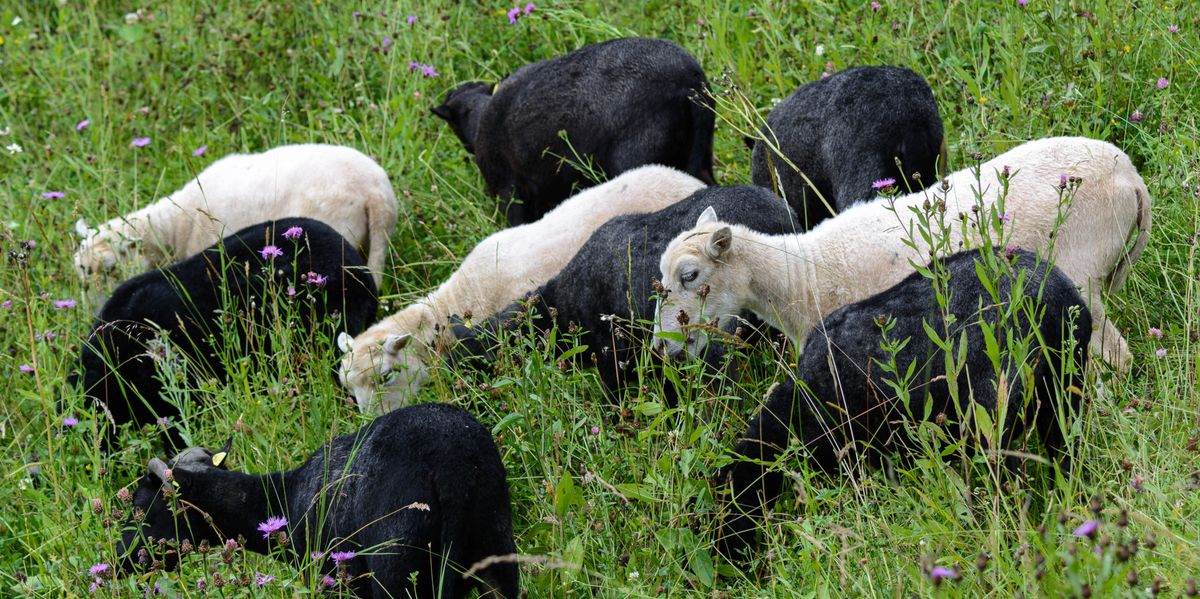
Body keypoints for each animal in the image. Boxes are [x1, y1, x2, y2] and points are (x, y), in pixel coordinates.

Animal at [114, 402, 518, 598]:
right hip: (496, 547)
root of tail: (454, 465)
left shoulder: (331, 579)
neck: (281, 497)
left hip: (397, 566)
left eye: (142, 506)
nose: (119, 560)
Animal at [654, 136, 1151, 371]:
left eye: (690, 275)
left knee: (1117, 356)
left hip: (1080, 268)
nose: (663, 347)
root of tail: (1129, 175)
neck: (799, 275)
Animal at [714, 249, 1091, 560]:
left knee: (1007, 480)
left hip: (993, 411)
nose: (729, 558)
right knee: (1066, 455)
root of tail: (1059, 300)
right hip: (1062, 394)